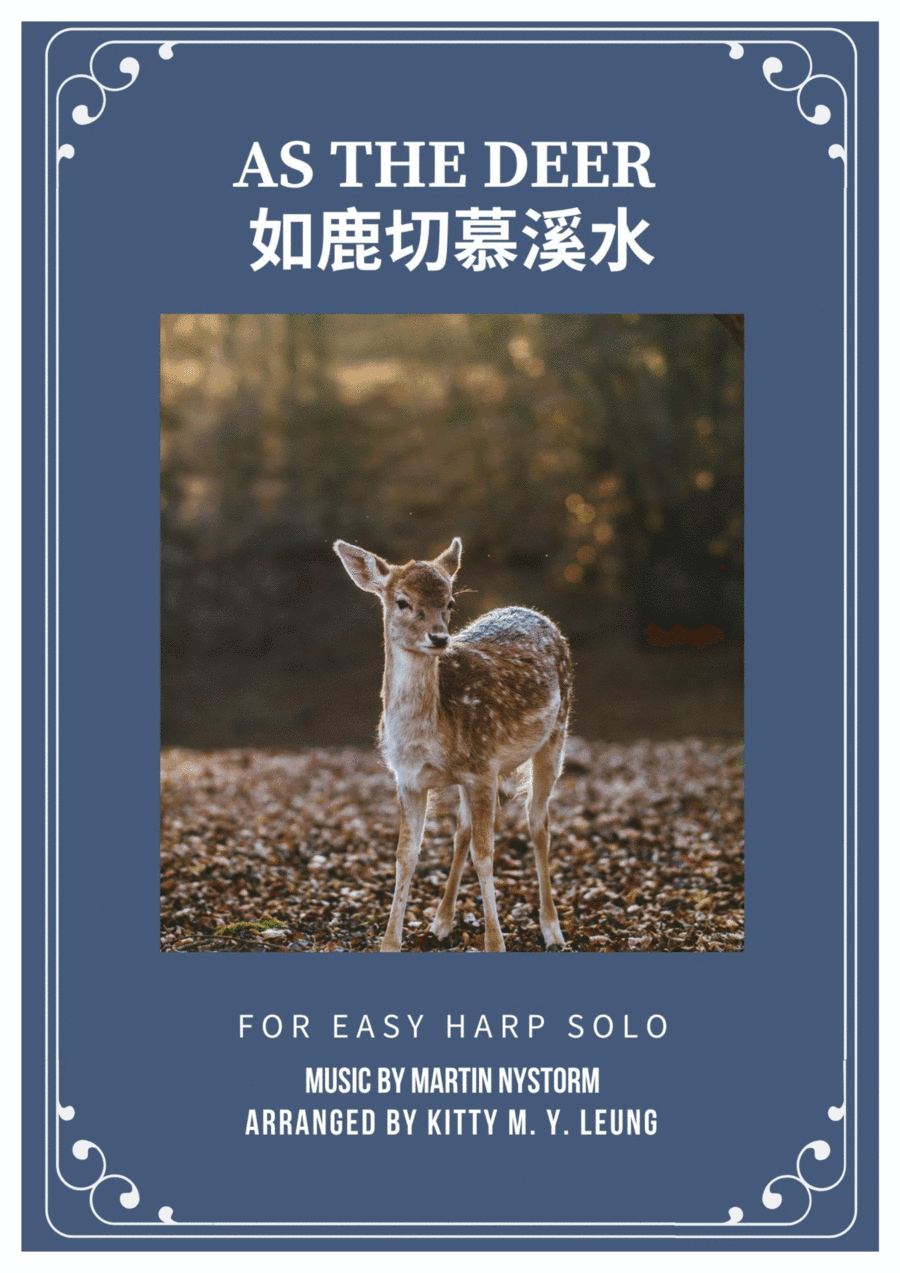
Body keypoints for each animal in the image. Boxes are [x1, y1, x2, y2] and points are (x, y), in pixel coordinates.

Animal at [334, 536, 573, 953]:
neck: (427, 739)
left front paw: (495, 943)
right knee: (462, 829)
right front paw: (390, 943)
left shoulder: (484, 767)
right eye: (402, 601)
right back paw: (441, 921)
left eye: (450, 603)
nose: (439, 637)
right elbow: (405, 855)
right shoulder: (408, 779)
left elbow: (486, 854)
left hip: (556, 733)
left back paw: (552, 929)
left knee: (538, 822)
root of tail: (537, 614)